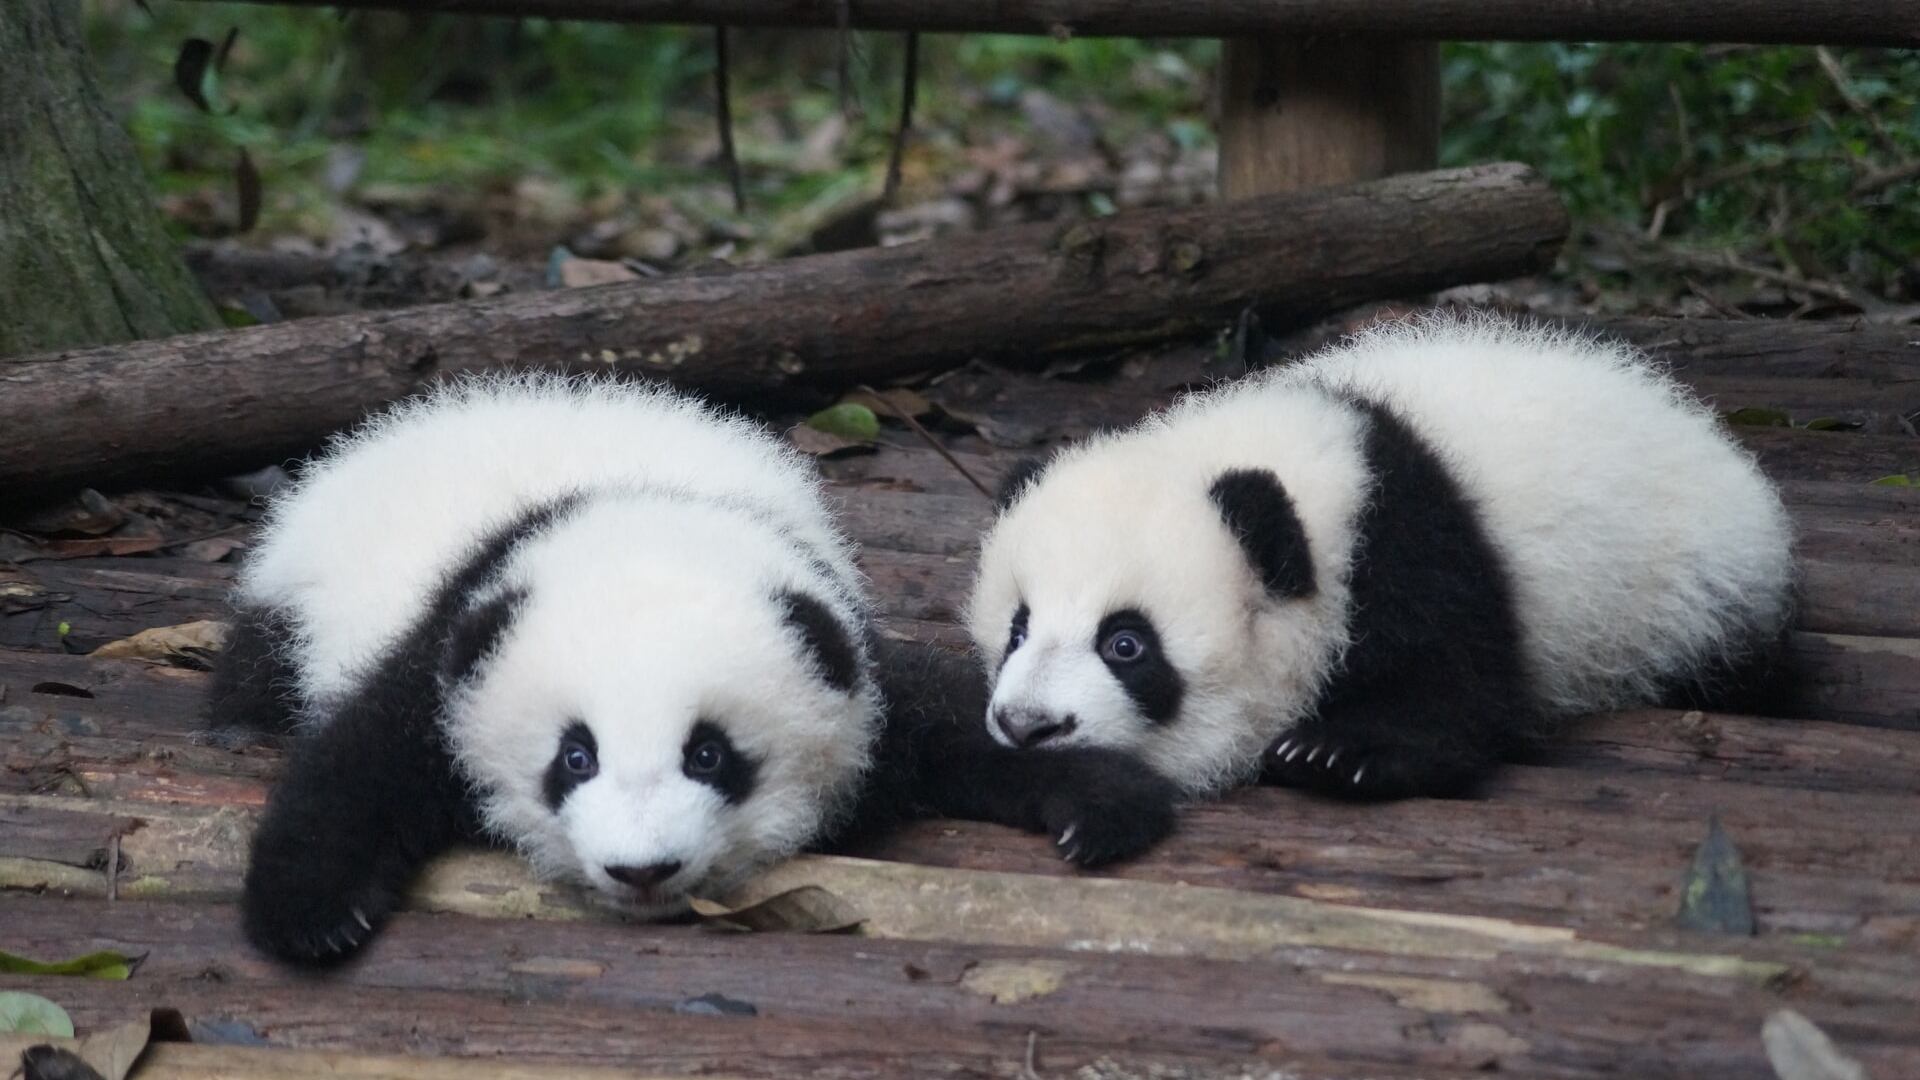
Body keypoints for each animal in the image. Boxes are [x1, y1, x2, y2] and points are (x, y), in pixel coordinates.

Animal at [211, 373, 1175, 965]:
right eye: (575, 758)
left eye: (710, 755)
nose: (642, 872)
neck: (645, 512)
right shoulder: (457, 637)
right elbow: (362, 759)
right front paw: (312, 915)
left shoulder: (837, 638)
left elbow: (948, 720)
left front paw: (1098, 801)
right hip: (291, 595)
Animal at [969, 313, 1795, 800]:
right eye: (1017, 629)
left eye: (1126, 644)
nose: (1027, 726)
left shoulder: (1413, 544)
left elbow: (1459, 687)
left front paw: (1337, 753)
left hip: (1695, 593)